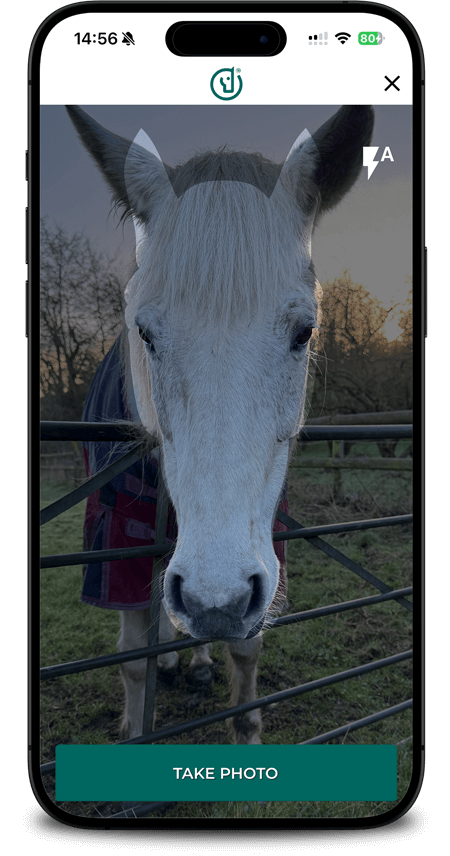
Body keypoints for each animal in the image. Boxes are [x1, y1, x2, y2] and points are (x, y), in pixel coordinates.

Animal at [67, 104, 374, 744]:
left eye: (305, 332)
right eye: (144, 331)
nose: (218, 601)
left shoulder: (265, 544)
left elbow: (247, 648)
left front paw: (247, 727)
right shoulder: (116, 543)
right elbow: (132, 659)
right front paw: (135, 723)